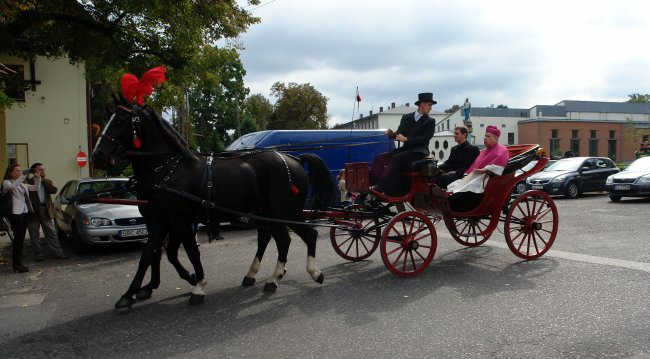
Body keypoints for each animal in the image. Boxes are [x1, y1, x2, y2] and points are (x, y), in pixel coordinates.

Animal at [92, 98, 334, 310]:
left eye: (120, 121)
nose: (97, 155)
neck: (168, 169)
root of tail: (294, 160)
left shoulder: (177, 220)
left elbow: (189, 252)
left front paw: (197, 286)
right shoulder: (161, 220)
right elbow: (149, 255)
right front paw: (130, 294)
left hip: (285, 211)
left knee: (305, 235)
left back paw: (310, 273)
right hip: (267, 213)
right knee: (277, 239)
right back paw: (266, 277)